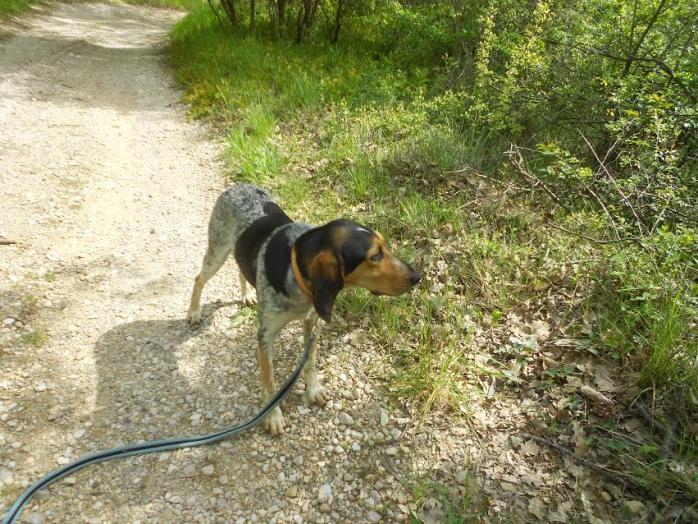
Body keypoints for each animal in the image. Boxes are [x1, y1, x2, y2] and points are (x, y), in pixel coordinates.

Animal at [185, 184, 422, 434]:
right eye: (375, 256)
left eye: (384, 247)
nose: (418, 276)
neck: (295, 272)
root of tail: (236, 186)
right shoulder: (265, 336)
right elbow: (269, 380)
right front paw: (273, 416)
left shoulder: (311, 322)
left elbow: (309, 362)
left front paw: (313, 389)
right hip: (217, 251)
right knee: (199, 278)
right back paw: (194, 312)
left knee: (240, 269)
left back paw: (246, 294)